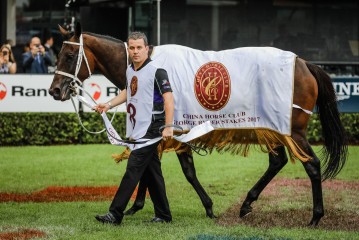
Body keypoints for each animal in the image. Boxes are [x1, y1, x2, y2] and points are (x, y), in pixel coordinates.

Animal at [49, 23, 348, 227]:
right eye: (58, 54)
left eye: (68, 56)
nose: (54, 90)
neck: (144, 64)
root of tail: (304, 63)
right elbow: (149, 165)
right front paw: (138, 206)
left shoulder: (173, 130)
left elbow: (185, 171)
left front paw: (208, 207)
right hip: (272, 129)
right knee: (278, 162)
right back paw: (247, 204)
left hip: (293, 131)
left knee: (312, 165)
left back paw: (315, 217)